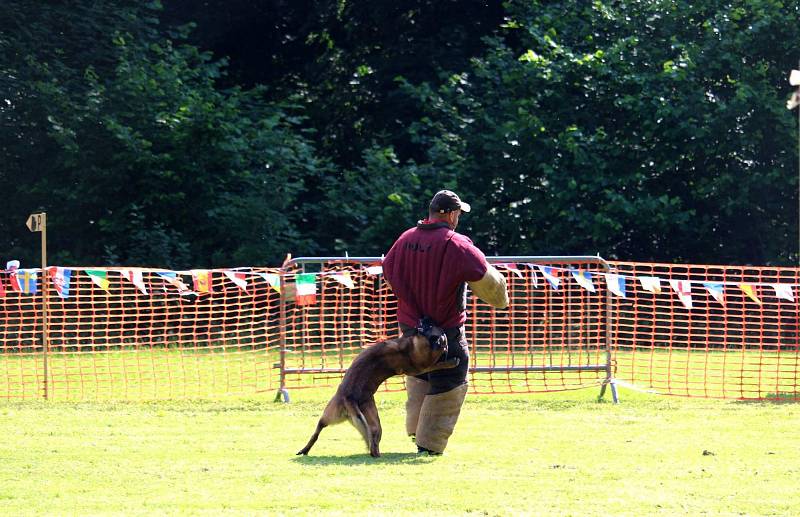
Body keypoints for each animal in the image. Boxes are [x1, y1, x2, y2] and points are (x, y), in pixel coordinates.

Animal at [296, 316, 460, 458]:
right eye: (430, 325)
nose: (426, 317)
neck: (411, 352)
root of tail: (350, 399)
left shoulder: (420, 366)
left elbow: (437, 364)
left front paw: (449, 362)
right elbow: (436, 363)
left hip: (364, 422)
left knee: (365, 440)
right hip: (338, 416)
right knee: (317, 432)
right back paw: (304, 449)